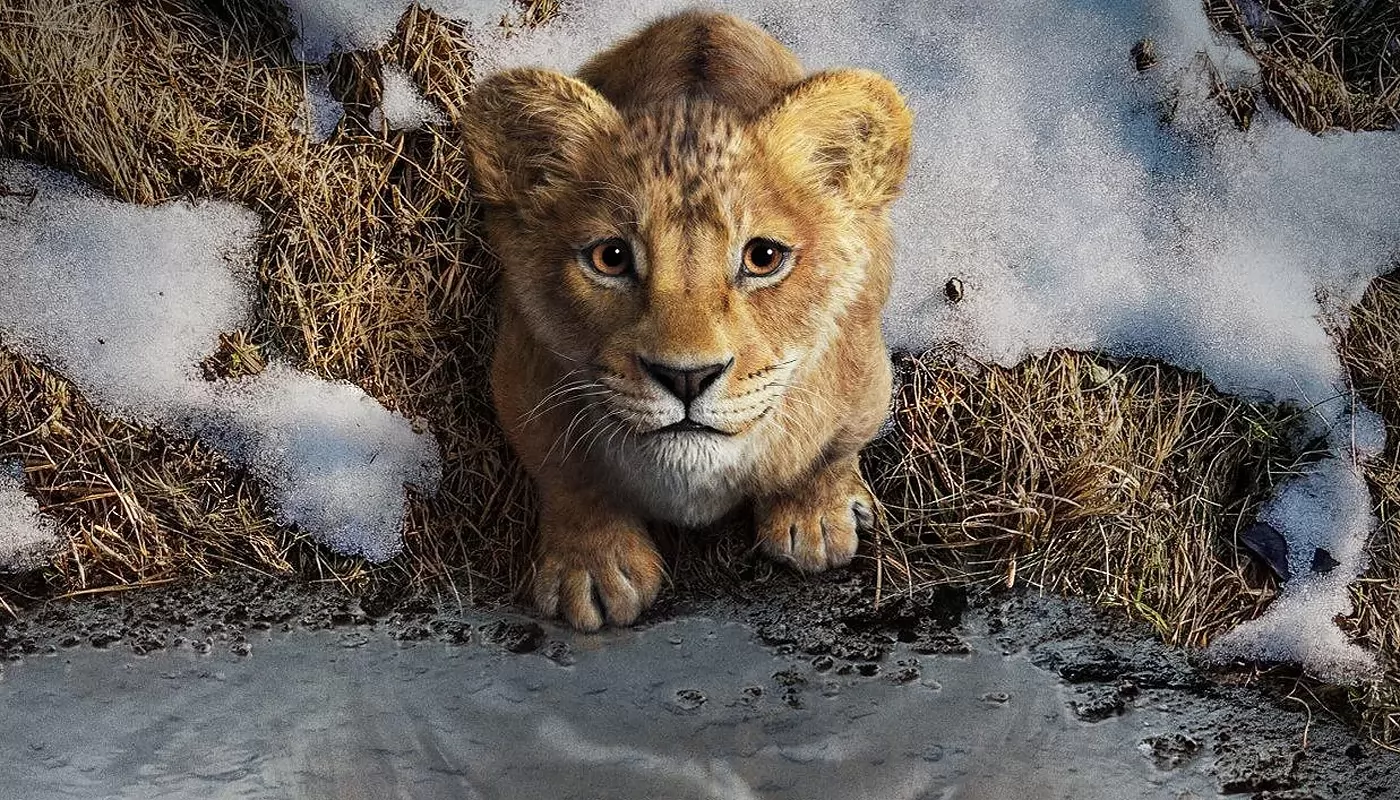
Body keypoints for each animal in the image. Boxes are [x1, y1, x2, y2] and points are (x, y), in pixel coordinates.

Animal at [463, 10, 914, 630]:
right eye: (611, 257)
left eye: (763, 257)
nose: (686, 377)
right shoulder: (520, 377)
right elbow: (567, 475)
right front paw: (594, 569)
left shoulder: (865, 378)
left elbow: (830, 450)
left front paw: (815, 518)